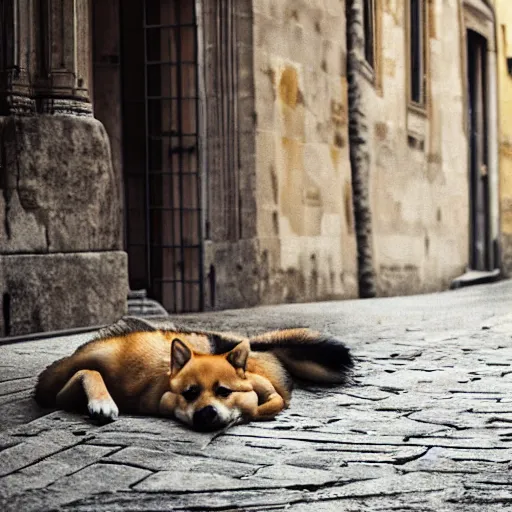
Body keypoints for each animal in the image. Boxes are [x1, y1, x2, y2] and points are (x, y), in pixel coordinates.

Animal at [34, 318, 354, 430]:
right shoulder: (55, 390)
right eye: (188, 393)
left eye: (224, 391)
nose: (206, 414)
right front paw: (102, 402)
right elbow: (89, 371)